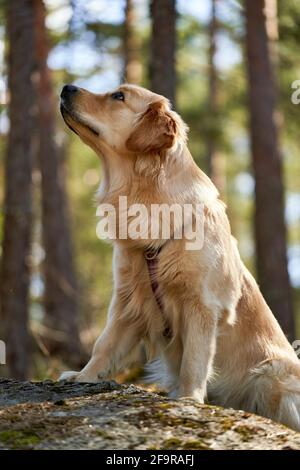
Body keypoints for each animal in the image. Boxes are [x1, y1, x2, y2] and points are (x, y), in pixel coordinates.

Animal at [59, 83, 300, 430]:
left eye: (119, 96)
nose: (66, 87)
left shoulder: (202, 305)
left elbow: (194, 359)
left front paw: (188, 400)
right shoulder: (128, 299)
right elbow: (104, 344)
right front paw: (83, 376)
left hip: (271, 373)